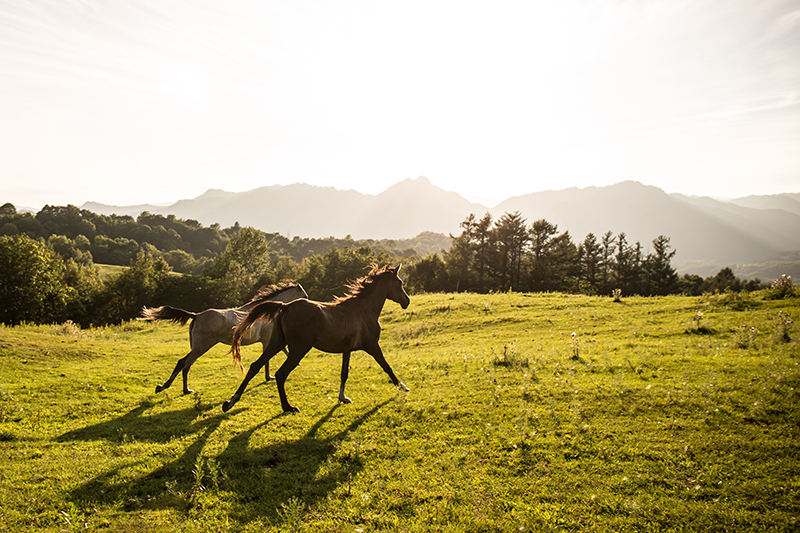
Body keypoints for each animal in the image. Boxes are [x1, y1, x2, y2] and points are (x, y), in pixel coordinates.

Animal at [140, 282, 306, 394]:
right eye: (304, 295)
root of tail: (196, 315)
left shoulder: (267, 341)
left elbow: (275, 354)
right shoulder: (268, 340)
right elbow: (270, 358)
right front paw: (270, 376)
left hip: (197, 348)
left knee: (187, 365)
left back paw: (186, 390)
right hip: (201, 347)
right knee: (182, 363)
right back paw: (164, 386)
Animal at [223, 264, 410, 414]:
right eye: (400, 283)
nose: (406, 301)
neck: (364, 309)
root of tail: (285, 307)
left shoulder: (347, 349)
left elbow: (344, 373)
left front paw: (343, 398)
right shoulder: (372, 346)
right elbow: (387, 366)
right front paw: (403, 387)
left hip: (276, 343)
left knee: (255, 366)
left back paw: (230, 402)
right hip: (299, 349)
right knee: (280, 373)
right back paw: (288, 407)